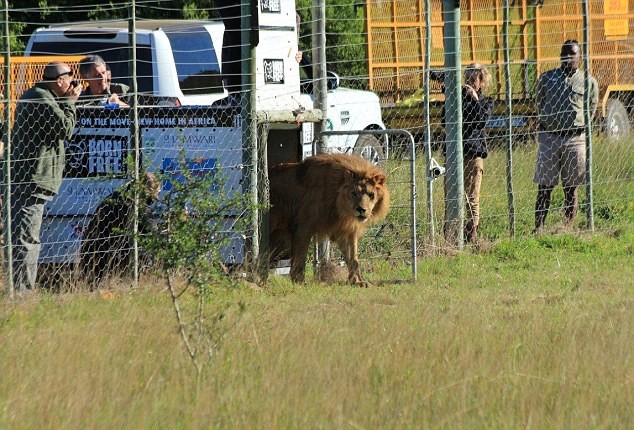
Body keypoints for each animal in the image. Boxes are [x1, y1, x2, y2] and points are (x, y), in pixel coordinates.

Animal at [268, 153, 388, 288]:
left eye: (371, 194)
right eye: (354, 193)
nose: (361, 209)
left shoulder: (346, 231)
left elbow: (353, 258)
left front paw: (357, 281)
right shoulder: (303, 227)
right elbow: (300, 256)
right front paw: (299, 281)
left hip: (282, 239)